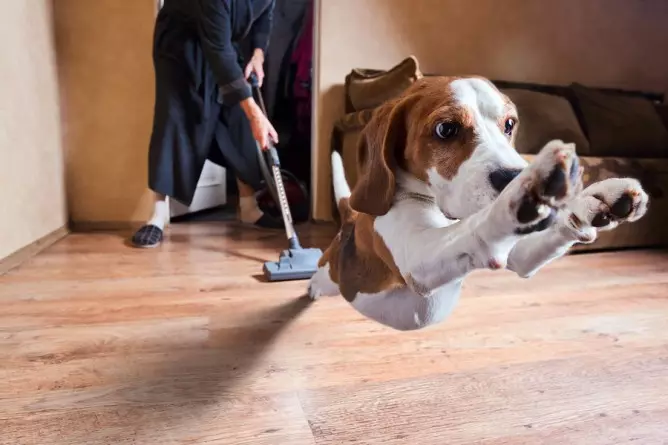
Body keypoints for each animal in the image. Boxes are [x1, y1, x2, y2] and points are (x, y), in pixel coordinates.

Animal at [310, 75, 648, 330]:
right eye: (446, 129)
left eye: (509, 124)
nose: (514, 174)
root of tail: (350, 221)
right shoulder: (416, 255)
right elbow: (478, 225)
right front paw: (525, 192)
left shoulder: (519, 255)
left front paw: (594, 200)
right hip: (330, 272)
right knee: (319, 275)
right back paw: (311, 288)